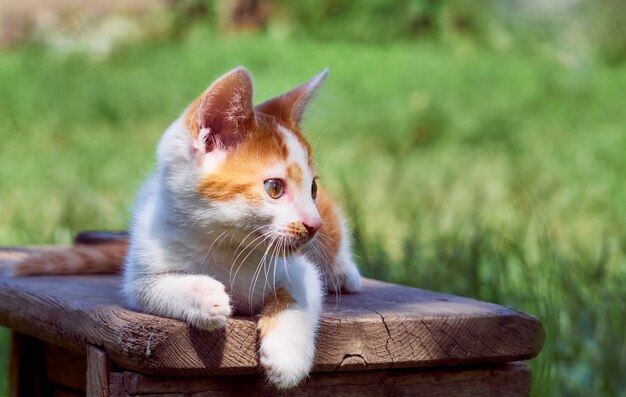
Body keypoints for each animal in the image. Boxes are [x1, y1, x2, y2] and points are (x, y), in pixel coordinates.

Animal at [122, 67, 360, 386]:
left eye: (313, 189)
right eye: (274, 188)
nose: (314, 225)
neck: (227, 245)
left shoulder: (298, 266)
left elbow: (301, 291)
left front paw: (287, 358)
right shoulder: (142, 265)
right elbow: (150, 288)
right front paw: (205, 296)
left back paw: (343, 273)